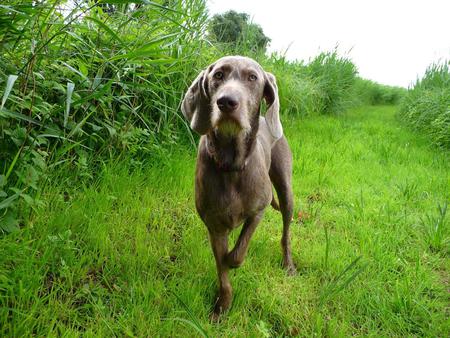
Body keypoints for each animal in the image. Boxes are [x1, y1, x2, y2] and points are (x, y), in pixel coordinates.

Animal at [181, 55, 294, 320]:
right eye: (218, 75)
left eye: (252, 77)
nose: (226, 102)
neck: (231, 165)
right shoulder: (214, 226)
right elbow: (222, 270)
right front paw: (222, 307)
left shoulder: (259, 210)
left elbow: (239, 251)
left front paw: (234, 260)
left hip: (286, 192)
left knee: (285, 233)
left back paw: (288, 264)